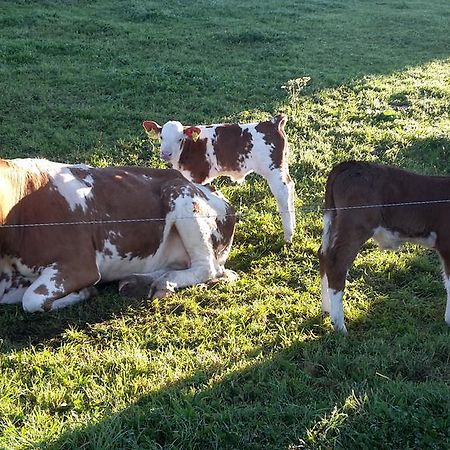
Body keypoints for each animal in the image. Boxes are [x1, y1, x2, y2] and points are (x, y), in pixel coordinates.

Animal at [0, 159, 237, 312]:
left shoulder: (79, 264)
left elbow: (31, 299)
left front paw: (84, 293)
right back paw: (138, 282)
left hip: (181, 196)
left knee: (207, 268)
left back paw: (162, 283)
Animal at [141, 115, 296, 243]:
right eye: (161, 137)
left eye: (179, 139)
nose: (166, 154)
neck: (188, 148)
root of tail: (271, 122)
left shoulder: (197, 176)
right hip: (282, 167)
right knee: (290, 185)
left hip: (273, 169)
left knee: (282, 193)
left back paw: (288, 235)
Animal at [318, 162, 450, 334]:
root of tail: (352, 164)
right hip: (355, 226)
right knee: (337, 264)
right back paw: (340, 326)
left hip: (336, 222)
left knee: (324, 254)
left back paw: (327, 308)